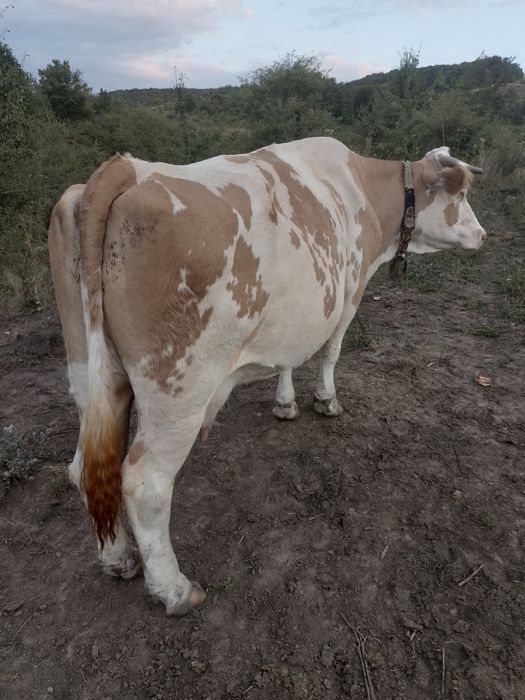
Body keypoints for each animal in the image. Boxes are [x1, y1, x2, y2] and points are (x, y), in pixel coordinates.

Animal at [48, 137, 485, 615]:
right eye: (462, 194)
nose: (483, 234)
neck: (366, 190)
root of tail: (126, 168)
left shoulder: (296, 318)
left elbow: (289, 357)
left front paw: (285, 402)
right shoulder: (349, 295)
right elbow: (330, 351)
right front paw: (326, 401)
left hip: (93, 373)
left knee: (87, 468)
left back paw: (118, 558)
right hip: (177, 391)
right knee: (145, 484)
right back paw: (173, 589)